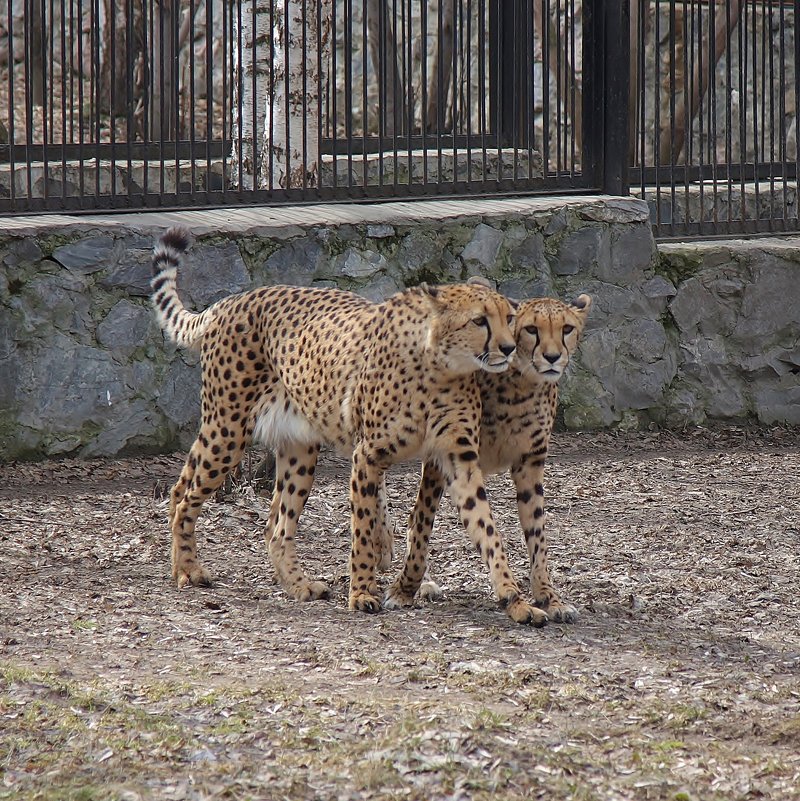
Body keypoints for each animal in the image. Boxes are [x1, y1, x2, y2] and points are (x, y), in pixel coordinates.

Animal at [151, 228, 544, 620]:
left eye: (509, 317)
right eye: (479, 320)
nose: (508, 348)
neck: (441, 365)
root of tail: (233, 300)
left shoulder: (457, 459)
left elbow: (487, 528)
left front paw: (515, 598)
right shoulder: (367, 455)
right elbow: (363, 528)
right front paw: (362, 592)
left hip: (296, 448)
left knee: (269, 525)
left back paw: (298, 585)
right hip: (228, 430)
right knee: (187, 499)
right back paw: (188, 569)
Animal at [384, 290, 592, 620]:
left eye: (567, 329)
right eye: (531, 329)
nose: (552, 357)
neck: (521, 384)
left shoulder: (529, 464)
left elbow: (537, 534)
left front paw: (548, 597)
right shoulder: (443, 459)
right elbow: (427, 522)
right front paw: (404, 589)